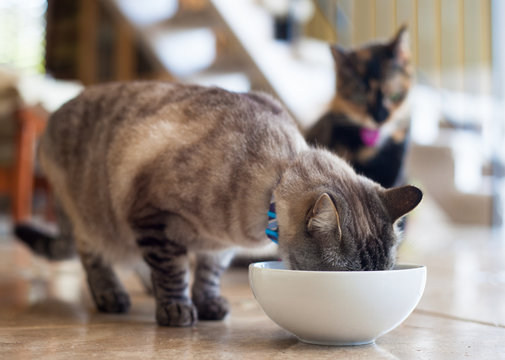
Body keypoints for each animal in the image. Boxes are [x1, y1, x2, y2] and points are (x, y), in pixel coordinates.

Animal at [14, 82, 422, 326]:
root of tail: (59, 107)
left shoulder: (219, 246)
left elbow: (207, 276)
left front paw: (208, 306)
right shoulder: (153, 218)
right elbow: (173, 271)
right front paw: (177, 310)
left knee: (136, 260)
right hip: (93, 220)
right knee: (95, 258)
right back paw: (112, 296)